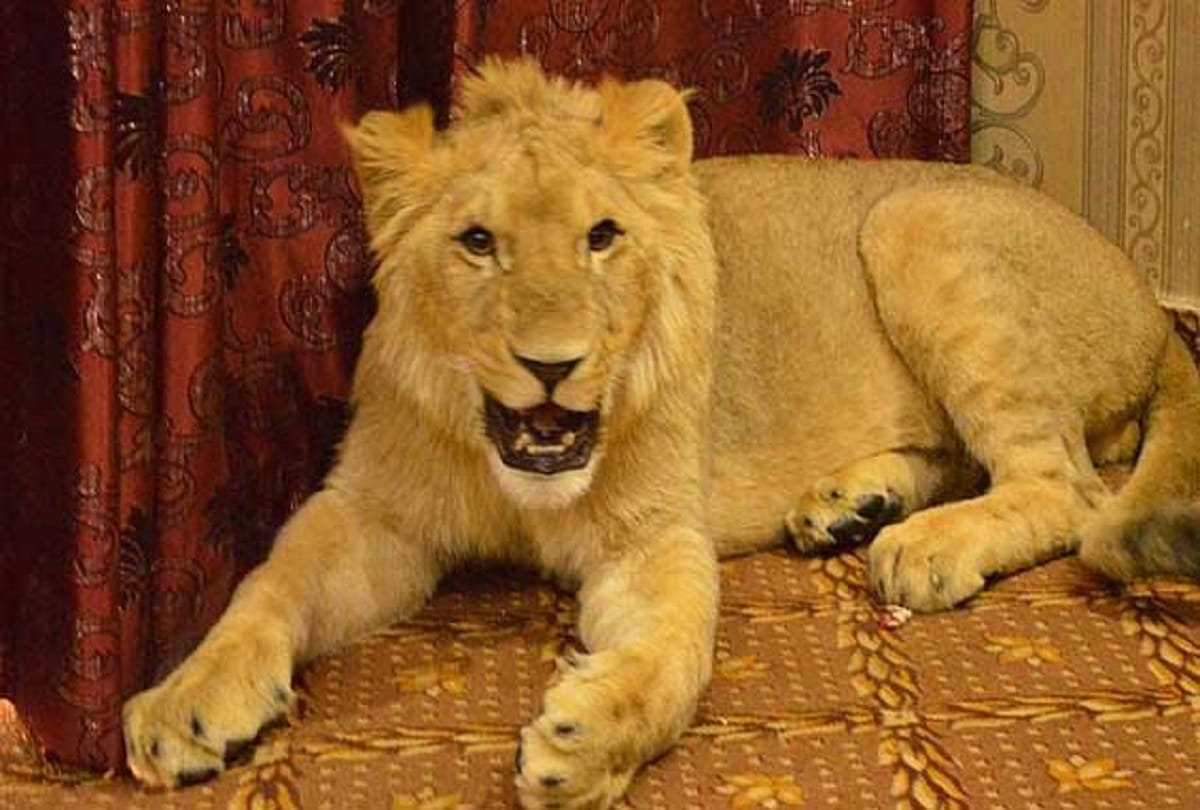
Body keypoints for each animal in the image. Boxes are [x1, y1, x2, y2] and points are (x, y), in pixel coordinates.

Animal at [122, 59, 1200, 808]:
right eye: (478, 242)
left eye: (603, 237)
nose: (553, 364)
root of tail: (1152, 305)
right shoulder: (374, 512)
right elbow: (270, 584)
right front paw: (181, 702)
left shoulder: (653, 538)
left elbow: (676, 654)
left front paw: (589, 742)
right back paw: (851, 504)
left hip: (915, 218)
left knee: (1068, 485)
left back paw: (921, 547)